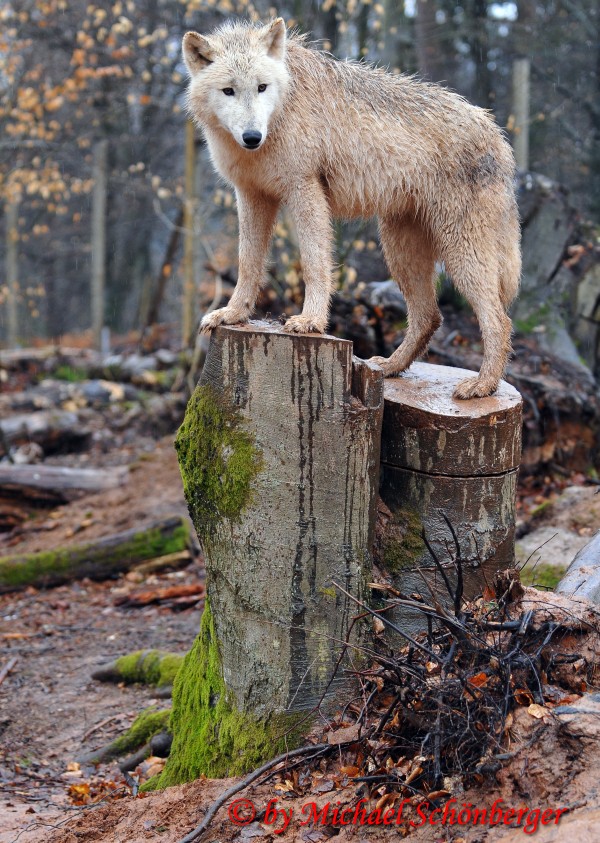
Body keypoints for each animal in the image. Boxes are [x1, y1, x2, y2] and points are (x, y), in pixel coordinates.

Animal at [182, 18, 520, 400]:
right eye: (229, 91)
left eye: (261, 87)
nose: (252, 136)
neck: (281, 112)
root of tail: (496, 132)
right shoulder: (251, 196)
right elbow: (247, 262)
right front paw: (233, 314)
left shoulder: (305, 190)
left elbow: (314, 264)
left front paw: (310, 321)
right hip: (400, 251)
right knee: (430, 316)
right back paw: (390, 366)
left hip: (459, 253)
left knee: (499, 319)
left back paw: (483, 385)